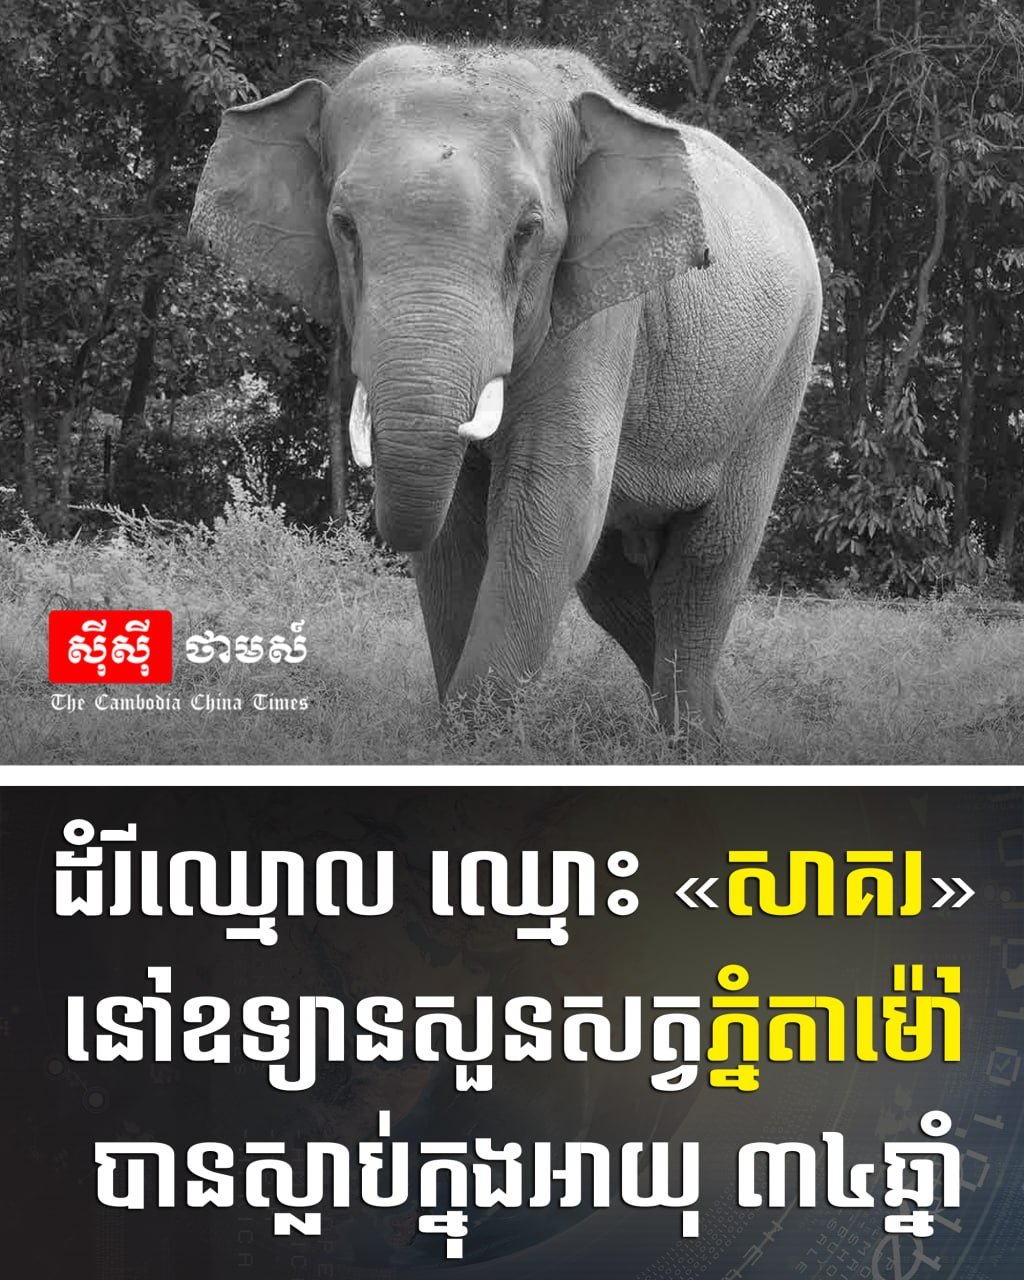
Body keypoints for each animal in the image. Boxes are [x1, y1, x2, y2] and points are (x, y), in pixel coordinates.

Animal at [189, 41, 822, 732]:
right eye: (344, 226)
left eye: (527, 230)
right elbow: (456, 535)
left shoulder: (601, 311)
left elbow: (551, 501)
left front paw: (471, 737)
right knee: (616, 588)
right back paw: (720, 738)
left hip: (783, 370)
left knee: (705, 564)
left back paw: (695, 740)